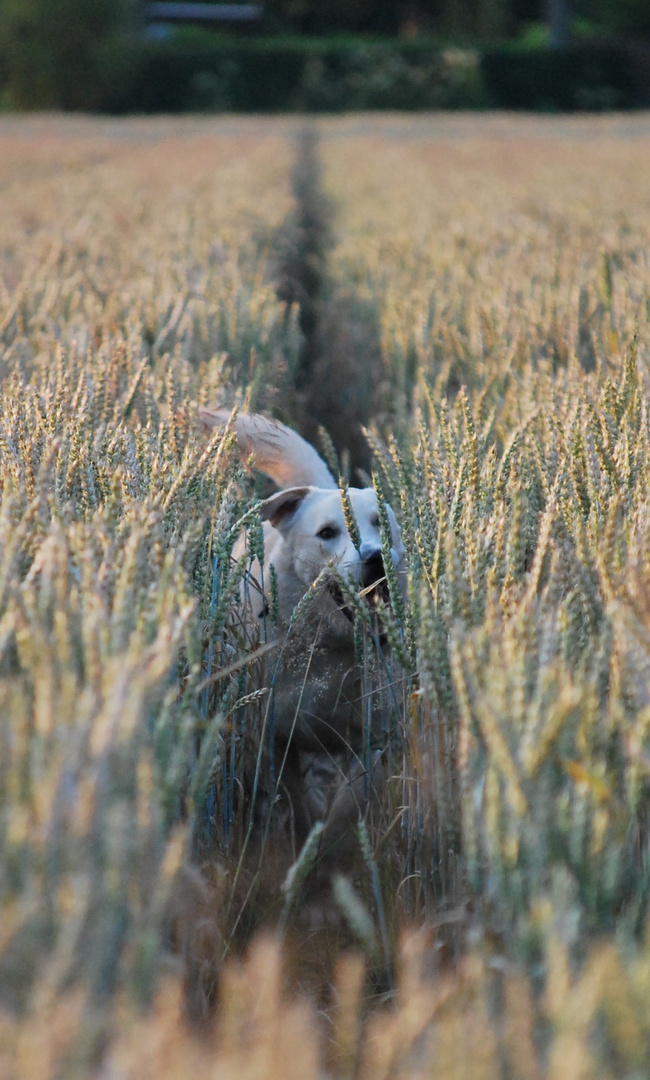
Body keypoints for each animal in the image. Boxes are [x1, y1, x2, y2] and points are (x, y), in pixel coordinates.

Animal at [197, 408, 405, 855]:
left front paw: (330, 849)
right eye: (327, 533)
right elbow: (298, 799)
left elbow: (350, 803)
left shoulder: (374, 738)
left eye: (381, 525)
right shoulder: (273, 738)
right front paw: (309, 842)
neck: (326, 648)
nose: (375, 558)